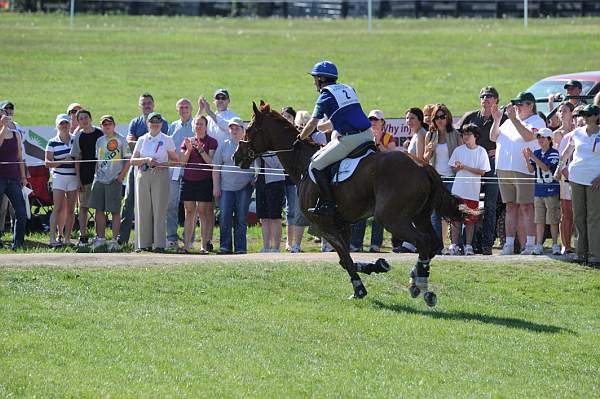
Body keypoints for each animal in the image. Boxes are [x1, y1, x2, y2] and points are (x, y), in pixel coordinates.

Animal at [236, 101, 468, 306]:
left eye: (250, 129)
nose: (236, 156)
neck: (302, 163)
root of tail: (423, 166)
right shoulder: (343, 225)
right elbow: (344, 258)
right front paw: (378, 265)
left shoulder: (323, 225)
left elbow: (345, 258)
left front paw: (359, 288)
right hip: (420, 216)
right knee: (433, 243)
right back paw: (417, 278)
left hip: (391, 218)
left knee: (422, 241)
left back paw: (419, 285)